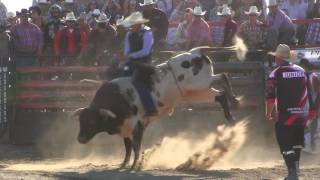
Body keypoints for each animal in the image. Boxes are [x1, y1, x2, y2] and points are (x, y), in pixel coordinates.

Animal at [74, 44, 246, 169]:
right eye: (81, 121)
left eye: (92, 121)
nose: (80, 139)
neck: (119, 98)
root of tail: (195, 52)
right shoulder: (125, 129)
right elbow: (128, 148)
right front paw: (123, 164)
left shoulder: (137, 125)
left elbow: (136, 147)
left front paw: (134, 166)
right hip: (196, 92)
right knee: (220, 95)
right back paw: (231, 113)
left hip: (201, 82)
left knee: (223, 76)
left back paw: (235, 102)